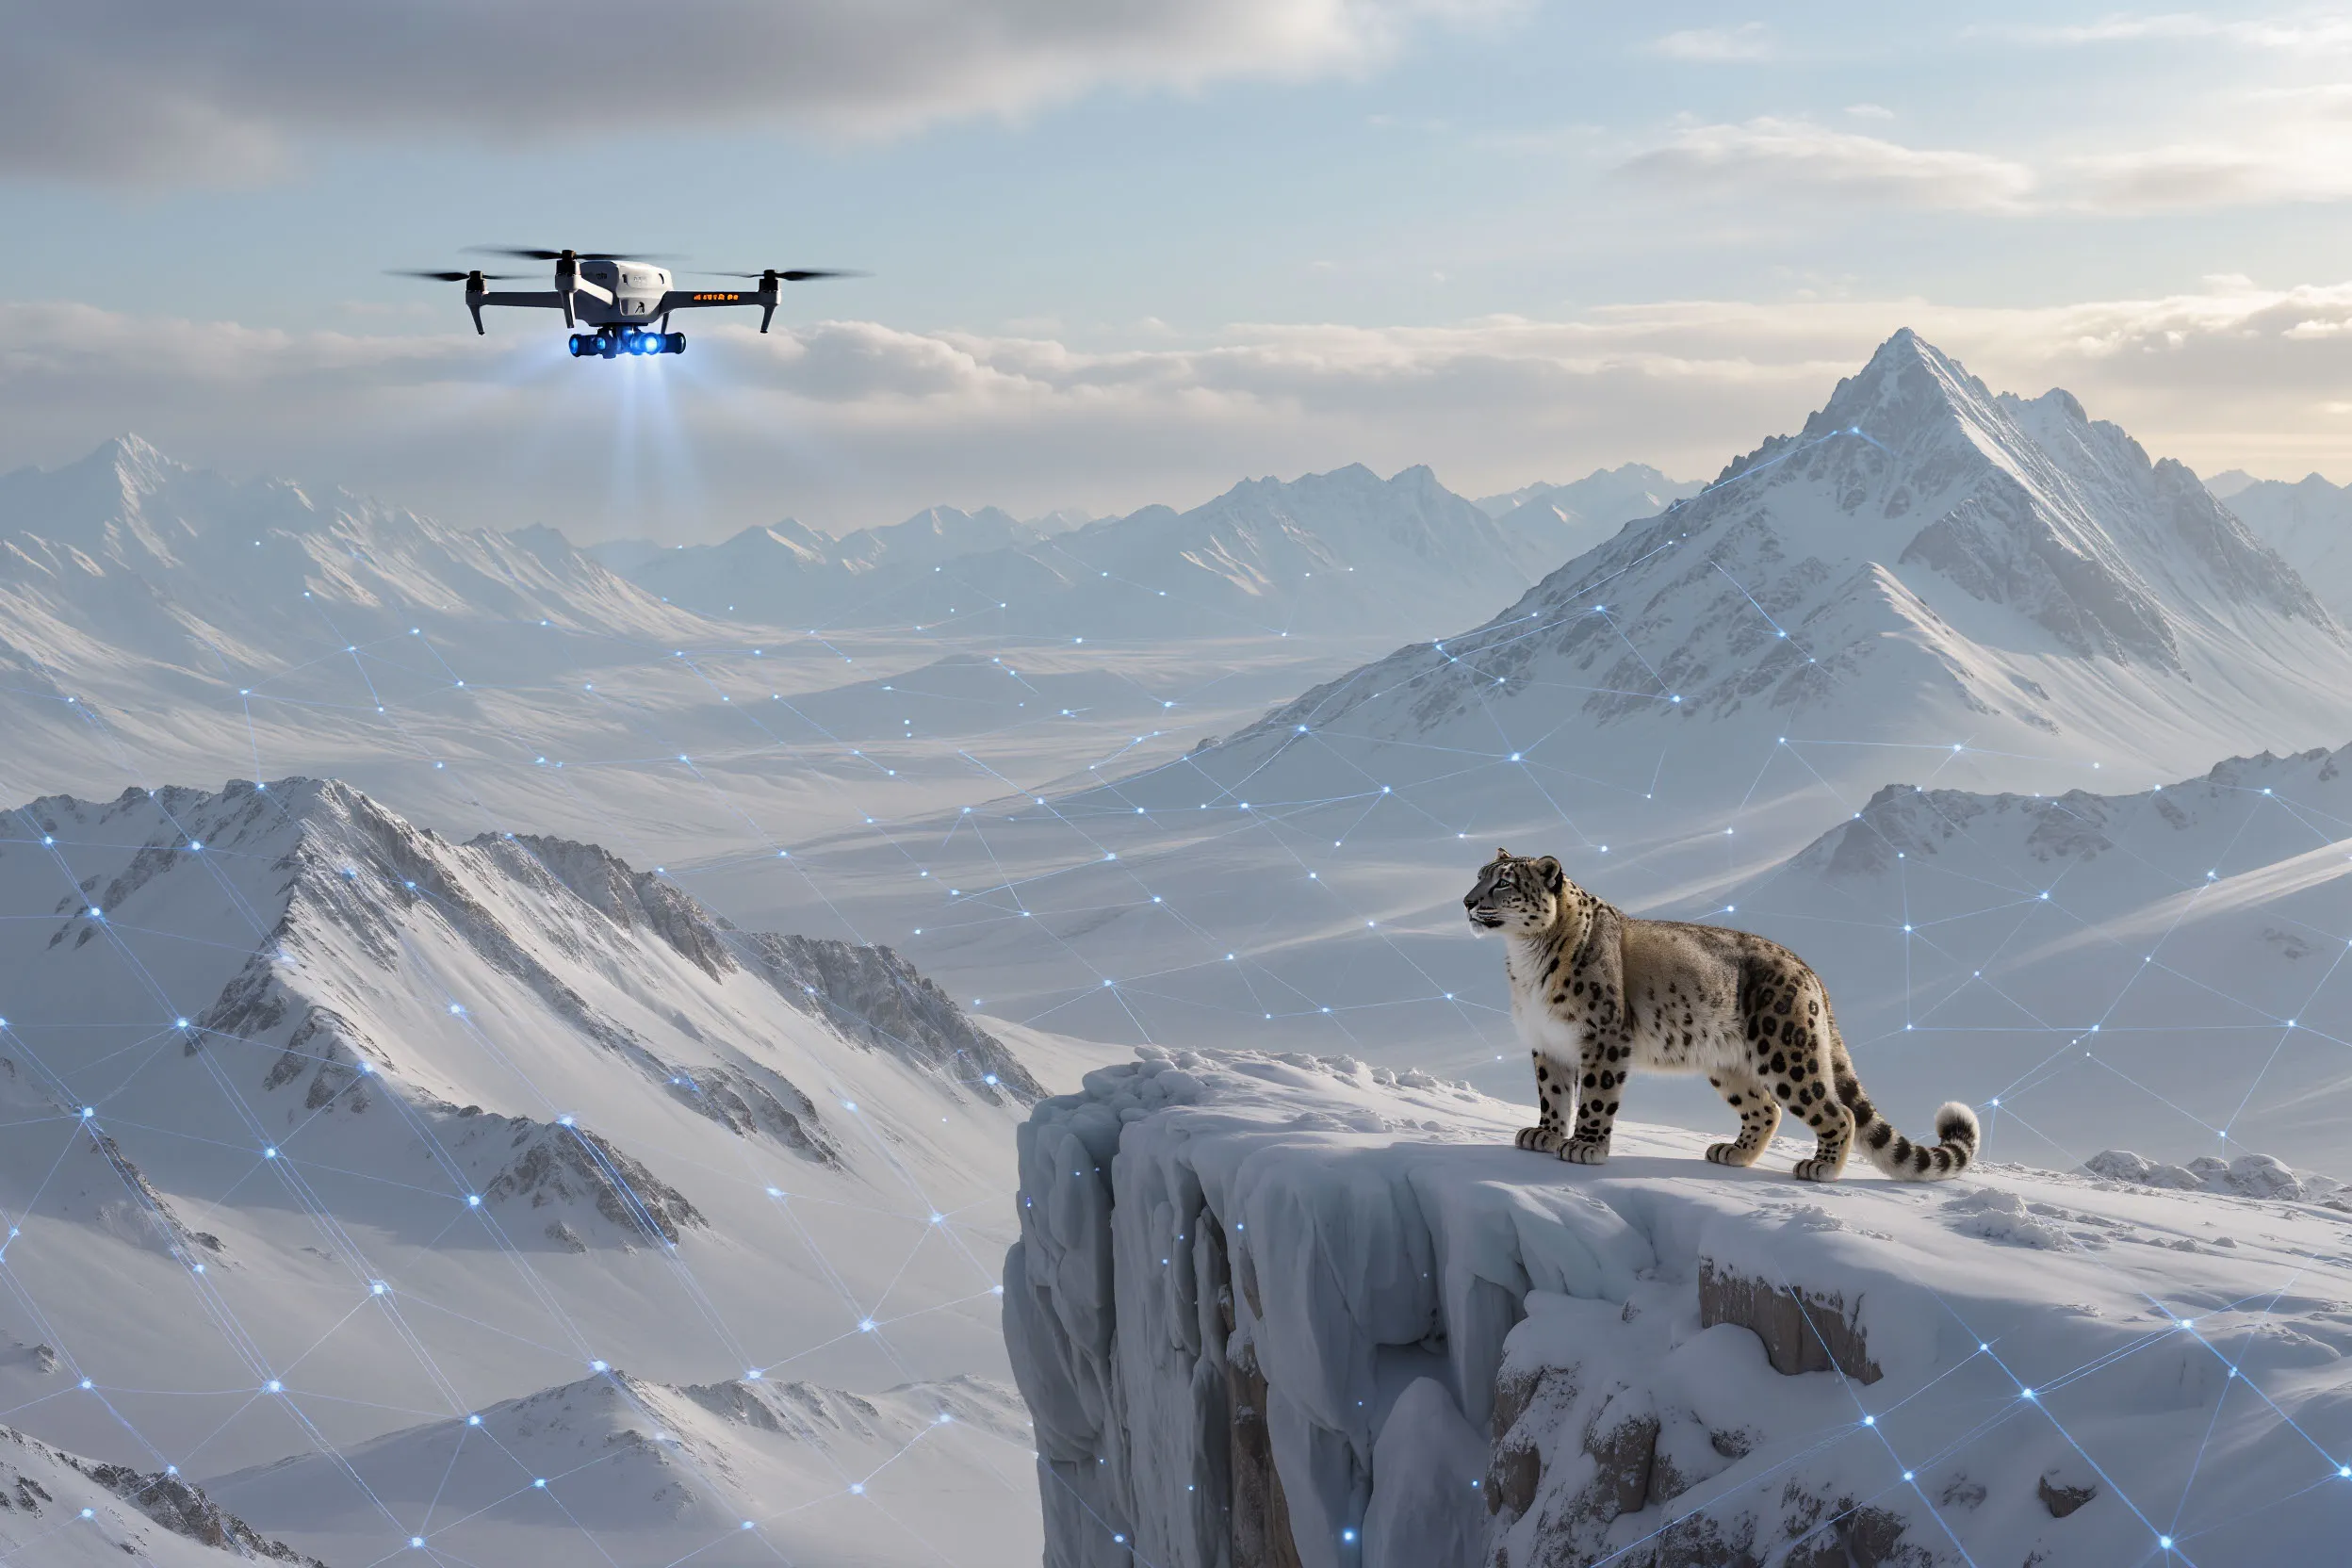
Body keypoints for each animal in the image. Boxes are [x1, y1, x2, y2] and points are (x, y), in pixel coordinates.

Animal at [1464, 848, 1978, 1182]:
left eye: (1503, 881)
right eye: (1479, 874)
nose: (1468, 901)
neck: (1525, 959)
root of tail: (1809, 971)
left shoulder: (1603, 1037)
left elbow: (1594, 1096)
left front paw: (1586, 1145)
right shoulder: (1546, 1041)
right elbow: (1553, 1095)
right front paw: (1545, 1135)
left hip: (1785, 1051)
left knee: (1836, 1111)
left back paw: (1822, 1167)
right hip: (1728, 1064)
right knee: (1766, 1109)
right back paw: (1733, 1152)